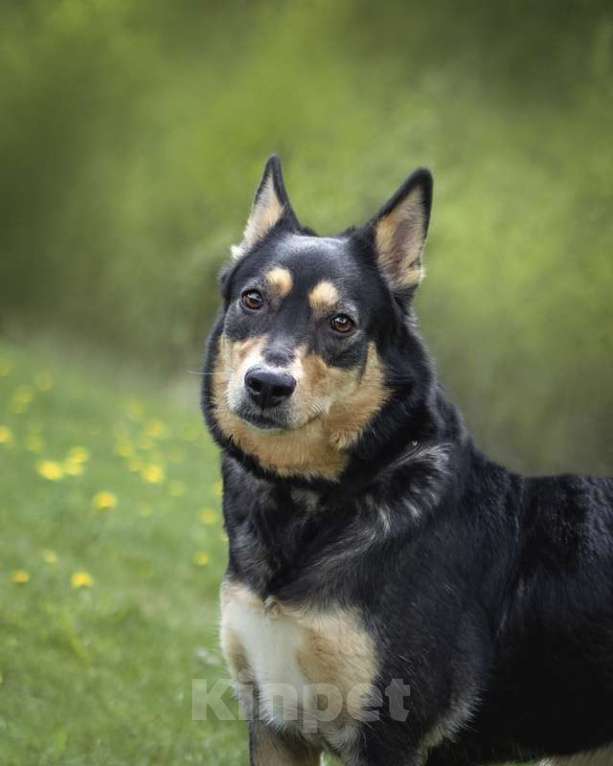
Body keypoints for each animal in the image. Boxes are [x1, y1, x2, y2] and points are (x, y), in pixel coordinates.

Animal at [201, 158, 612, 766]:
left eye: (342, 323)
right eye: (253, 300)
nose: (267, 386)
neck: (322, 500)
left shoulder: (388, 734)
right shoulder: (274, 724)